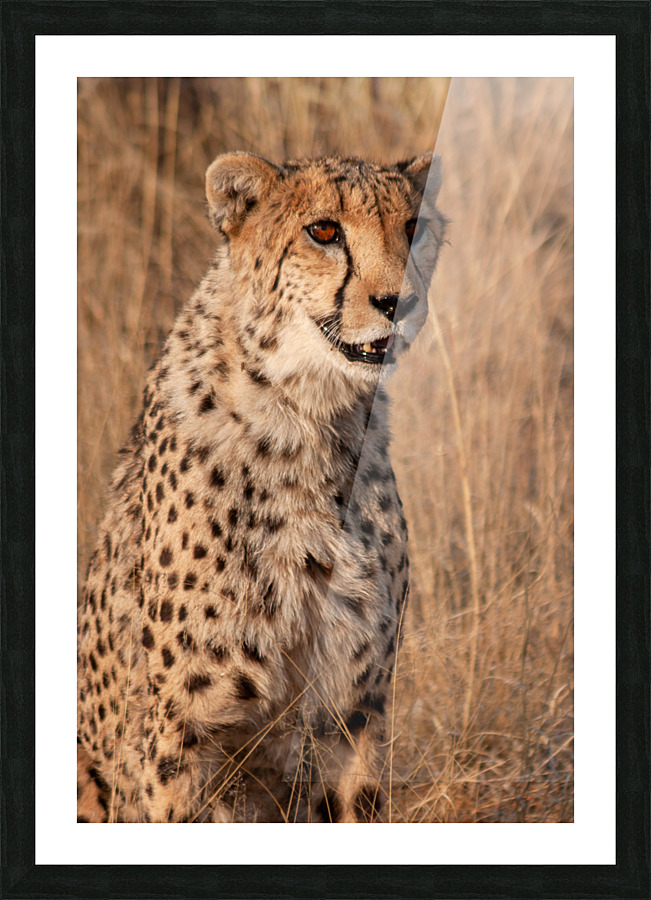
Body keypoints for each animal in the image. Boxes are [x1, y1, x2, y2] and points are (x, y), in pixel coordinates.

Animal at [77, 149, 447, 823]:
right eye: (323, 231)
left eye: (414, 228)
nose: (398, 302)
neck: (312, 418)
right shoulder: (181, 731)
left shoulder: (353, 710)